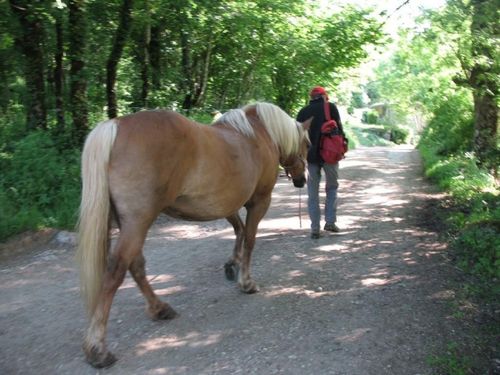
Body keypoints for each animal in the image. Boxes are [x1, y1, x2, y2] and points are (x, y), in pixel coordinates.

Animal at [76, 102, 310, 368]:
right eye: (307, 144)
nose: (301, 180)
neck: (259, 133)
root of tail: (115, 125)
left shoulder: (226, 204)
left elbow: (238, 230)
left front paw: (232, 264)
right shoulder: (259, 202)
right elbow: (249, 239)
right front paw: (246, 282)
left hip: (127, 223)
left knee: (136, 265)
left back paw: (159, 308)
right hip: (137, 222)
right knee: (116, 271)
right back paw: (97, 348)